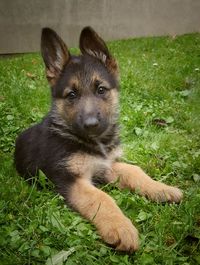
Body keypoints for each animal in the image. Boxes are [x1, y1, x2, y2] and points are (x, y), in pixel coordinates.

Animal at [14, 27, 183, 252]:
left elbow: (134, 170)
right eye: (71, 95)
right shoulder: (71, 180)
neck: (92, 142)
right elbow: (102, 198)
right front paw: (120, 227)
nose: (91, 124)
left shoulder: (106, 165)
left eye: (101, 89)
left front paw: (161, 189)